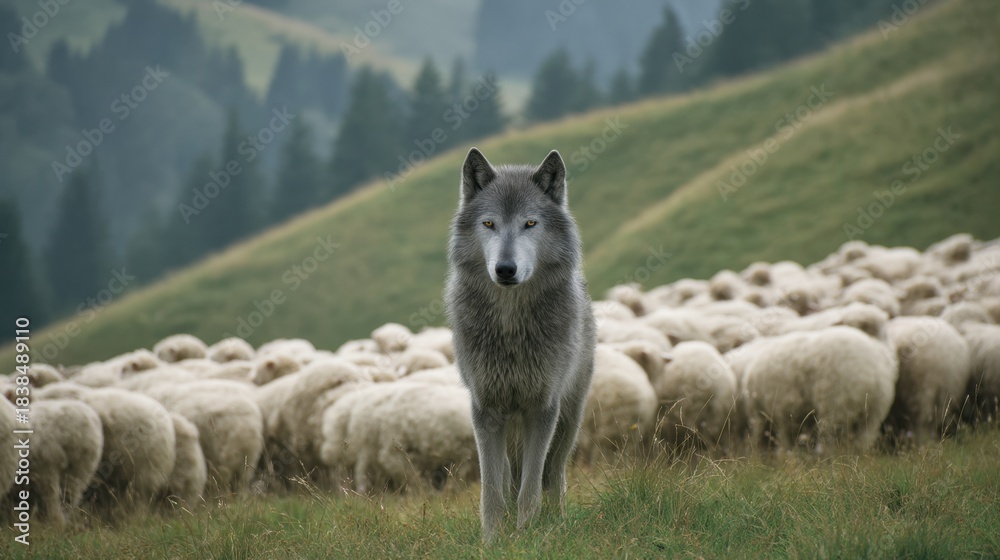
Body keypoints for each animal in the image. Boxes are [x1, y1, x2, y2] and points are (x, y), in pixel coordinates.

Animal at [444, 147, 596, 541]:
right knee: (508, 478)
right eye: (489, 224)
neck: (511, 326)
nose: (505, 269)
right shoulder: (485, 411)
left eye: (530, 223)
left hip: (569, 419)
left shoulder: (542, 409)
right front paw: (493, 541)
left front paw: (529, 536)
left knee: (554, 474)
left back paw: (557, 522)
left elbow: (531, 488)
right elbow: (491, 491)